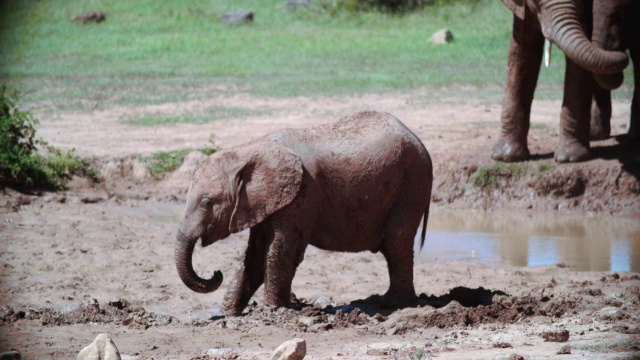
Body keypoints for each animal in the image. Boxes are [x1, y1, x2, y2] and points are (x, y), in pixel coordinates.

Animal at [176, 109, 430, 316]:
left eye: (206, 202)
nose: (216, 273)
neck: (249, 151)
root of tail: (418, 140)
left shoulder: (301, 197)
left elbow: (282, 251)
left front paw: (275, 310)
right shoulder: (264, 203)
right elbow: (255, 255)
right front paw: (229, 312)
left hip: (412, 185)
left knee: (396, 240)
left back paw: (393, 304)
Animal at [492, 0, 628, 162]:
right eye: (535, 1)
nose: (621, 52)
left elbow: (578, 64)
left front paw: (570, 158)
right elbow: (522, 52)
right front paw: (505, 157)